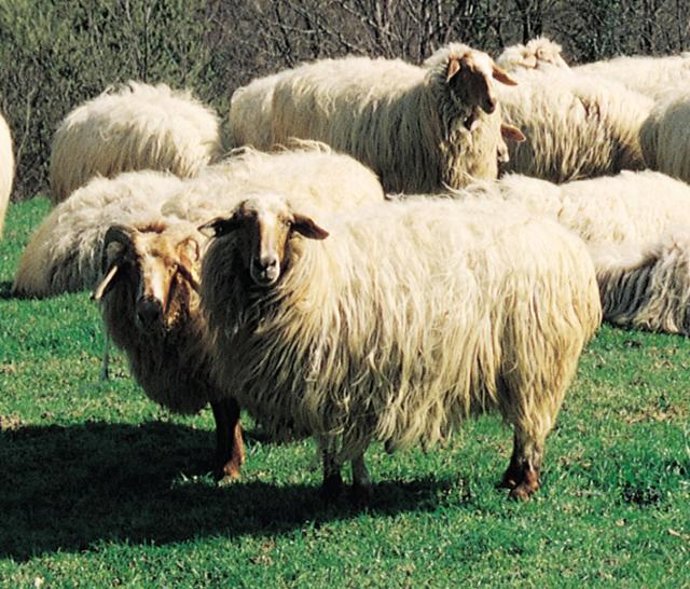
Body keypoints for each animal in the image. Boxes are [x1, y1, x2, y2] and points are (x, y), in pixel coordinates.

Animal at [92, 220, 245, 481]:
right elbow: (220, 415)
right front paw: (219, 460)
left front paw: (230, 468)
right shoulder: (209, 374)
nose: (148, 311)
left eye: (174, 265)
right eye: (131, 265)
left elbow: (229, 414)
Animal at [200, 193, 601, 501]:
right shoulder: (330, 385)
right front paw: (341, 485)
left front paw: (348, 487)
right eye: (241, 223)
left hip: (537, 362)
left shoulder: (340, 381)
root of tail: (568, 244)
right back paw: (510, 477)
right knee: (523, 427)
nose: (265, 265)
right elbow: (334, 440)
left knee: (531, 427)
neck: (318, 271)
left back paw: (524, 485)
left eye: (287, 223)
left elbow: (343, 441)